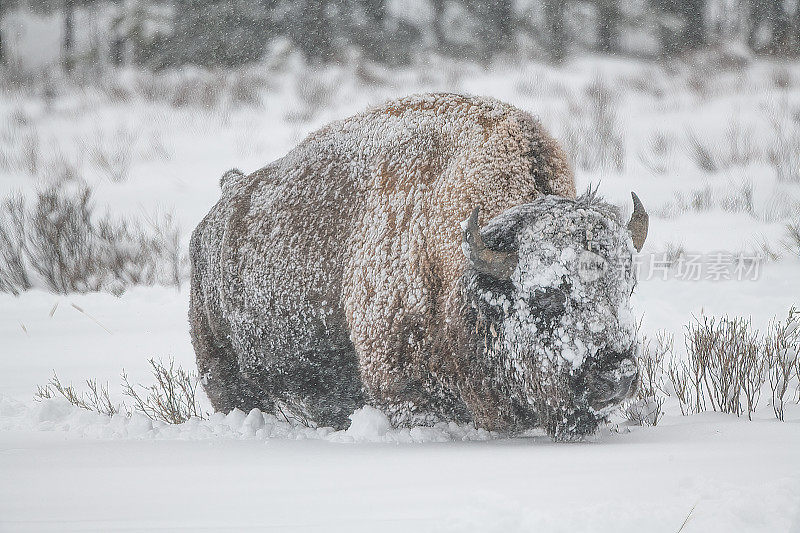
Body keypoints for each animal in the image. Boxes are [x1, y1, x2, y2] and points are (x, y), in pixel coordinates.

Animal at [191, 92, 648, 440]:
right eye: (548, 295)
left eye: (626, 289)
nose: (618, 376)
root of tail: (225, 200)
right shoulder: (403, 388)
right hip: (223, 372)